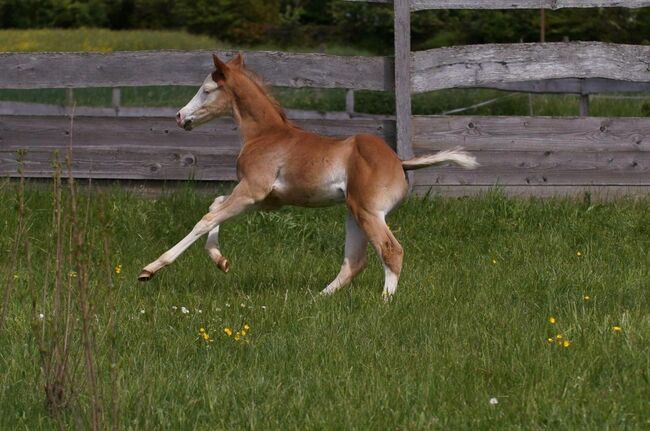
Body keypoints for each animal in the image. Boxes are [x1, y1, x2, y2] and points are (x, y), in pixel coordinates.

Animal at [138, 53, 476, 300]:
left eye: (207, 90)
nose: (180, 116)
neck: (266, 135)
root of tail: (400, 161)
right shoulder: (266, 200)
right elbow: (215, 206)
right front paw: (221, 262)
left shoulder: (252, 190)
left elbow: (205, 219)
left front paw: (150, 269)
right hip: (354, 213)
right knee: (354, 261)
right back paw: (317, 298)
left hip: (369, 212)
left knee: (391, 251)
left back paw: (384, 302)